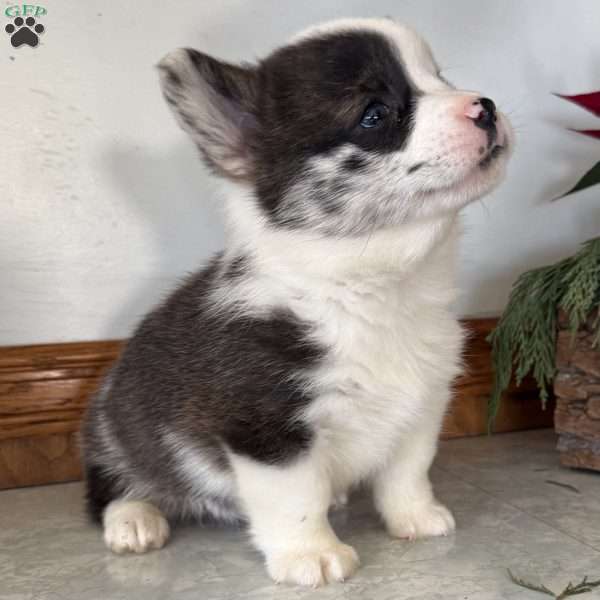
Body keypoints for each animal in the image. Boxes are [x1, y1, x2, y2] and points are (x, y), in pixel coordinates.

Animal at [79, 17, 510, 584]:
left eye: (440, 79)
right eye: (375, 114)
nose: (487, 106)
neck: (373, 288)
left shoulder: (422, 408)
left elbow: (407, 473)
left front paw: (416, 518)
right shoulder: (268, 430)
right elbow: (296, 498)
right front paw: (312, 554)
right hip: (115, 432)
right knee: (110, 487)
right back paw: (134, 519)